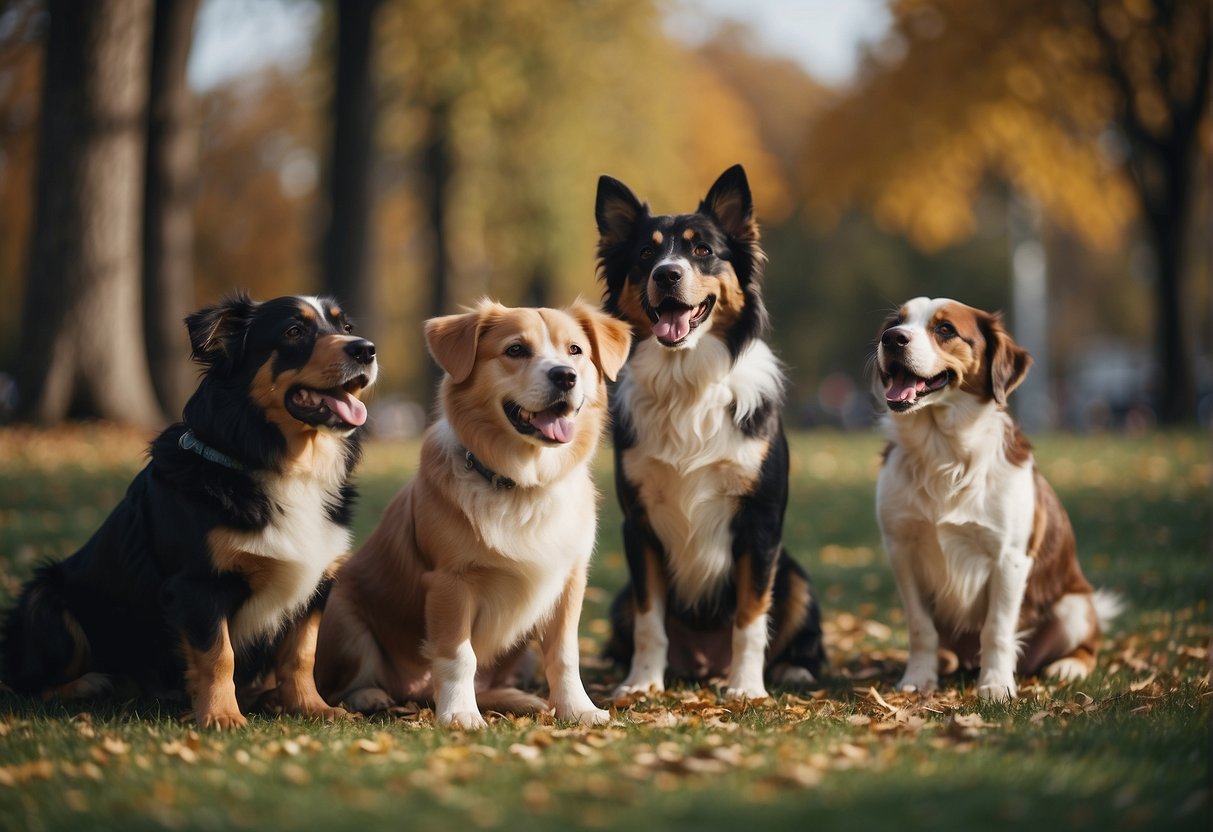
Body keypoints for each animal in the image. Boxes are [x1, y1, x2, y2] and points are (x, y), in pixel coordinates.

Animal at [0, 293, 376, 727]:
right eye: (294, 331)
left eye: (345, 327)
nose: (366, 350)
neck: (279, 464)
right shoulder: (197, 584)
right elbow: (219, 655)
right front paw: (222, 716)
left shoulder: (316, 584)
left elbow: (302, 654)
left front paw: (314, 708)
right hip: (44, 596)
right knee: (27, 683)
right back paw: (91, 684)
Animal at [312, 301, 630, 727]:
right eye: (516, 350)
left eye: (575, 350)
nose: (565, 375)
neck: (520, 480)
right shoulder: (450, 583)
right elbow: (458, 656)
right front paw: (460, 714)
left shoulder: (569, 581)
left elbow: (565, 654)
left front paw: (577, 709)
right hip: (343, 612)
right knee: (351, 683)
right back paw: (371, 696)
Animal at [594, 166, 824, 698]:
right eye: (645, 254)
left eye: (702, 250)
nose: (667, 274)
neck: (687, 382)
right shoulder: (638, 525)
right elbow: (649, 619)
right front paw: (642, 683)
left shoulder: (760, 523)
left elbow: (750, 616)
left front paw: (747, 687)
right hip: (617, 598)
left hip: (795, 576)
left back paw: (788, 670)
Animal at [873, 297, 1115, 698]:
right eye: (895, 322)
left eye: (945, 330)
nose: (891, 338)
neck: (943, 452)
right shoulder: (902, 550)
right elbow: (921, 628)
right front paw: (918, 678)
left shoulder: (1010, 558)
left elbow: (997, 629)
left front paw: (997, 685)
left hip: (1076, 605)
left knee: (1087, 647)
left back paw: (1067, 666)